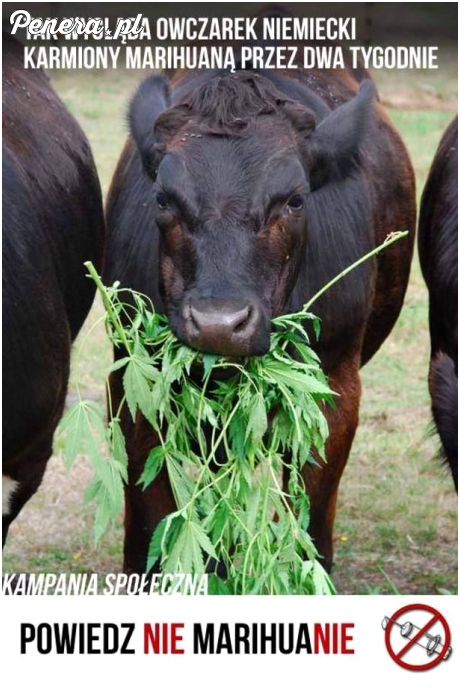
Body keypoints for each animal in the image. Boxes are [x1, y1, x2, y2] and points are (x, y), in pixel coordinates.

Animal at [106, 60, 416, 576]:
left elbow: (310, 530)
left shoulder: (336, 386)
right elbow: (148, 529)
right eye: (163, 198)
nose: (218, 323)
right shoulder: (134, 382)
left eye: (294, 200)